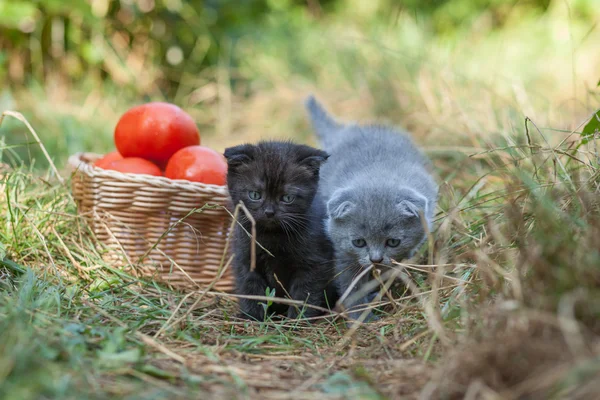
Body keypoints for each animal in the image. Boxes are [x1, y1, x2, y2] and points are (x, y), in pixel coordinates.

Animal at [224, 141, 338, 322]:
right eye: (255, 195)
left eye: (287, 198)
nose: (269, 212)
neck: (272, 236)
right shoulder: (245, 257)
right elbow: (250, 287)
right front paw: (252, 317)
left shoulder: (314, 262)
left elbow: (305, 292)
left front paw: (297, 319)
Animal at [304, 95, 436, 320]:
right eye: (358, 242)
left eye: (393, 241)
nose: (376, 259)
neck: (377, 171)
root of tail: (345, 130)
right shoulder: (344, 254)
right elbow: (352, 288)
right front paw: (360, 318)